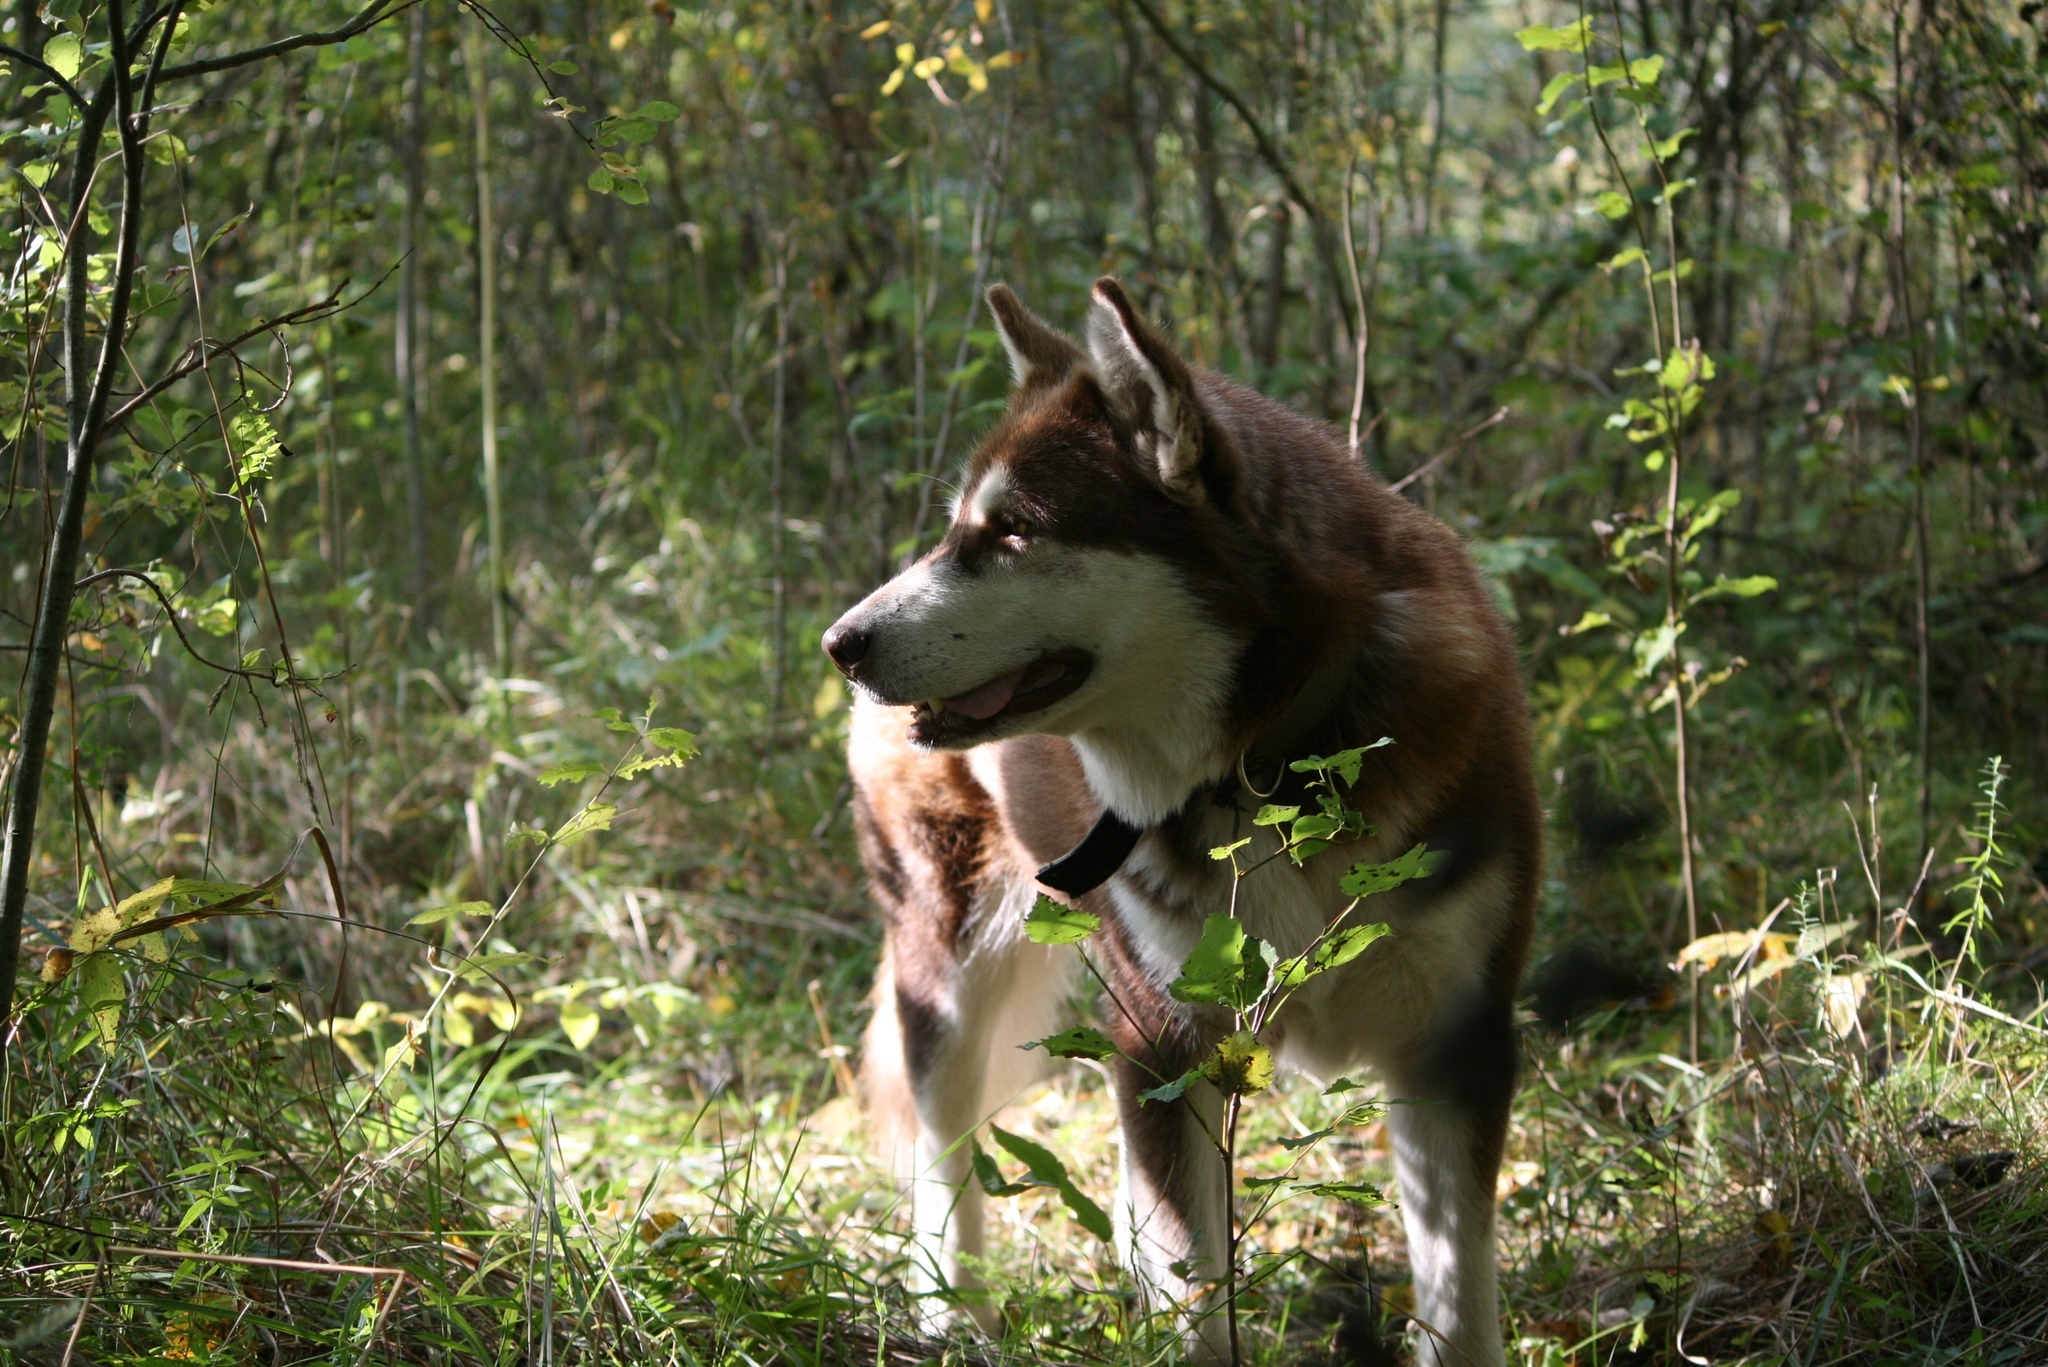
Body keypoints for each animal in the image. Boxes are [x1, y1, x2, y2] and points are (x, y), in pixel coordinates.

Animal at [823, 280, 1531, 1367]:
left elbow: (1456, 1303)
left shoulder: (1454, 1041)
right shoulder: (1165, 1038)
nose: (842, 643)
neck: (1264, 761)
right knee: (946, 1150)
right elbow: (1194, 1287)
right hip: (948, 959)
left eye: (1014, 529)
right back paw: (954, 1314)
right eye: (958, 532)